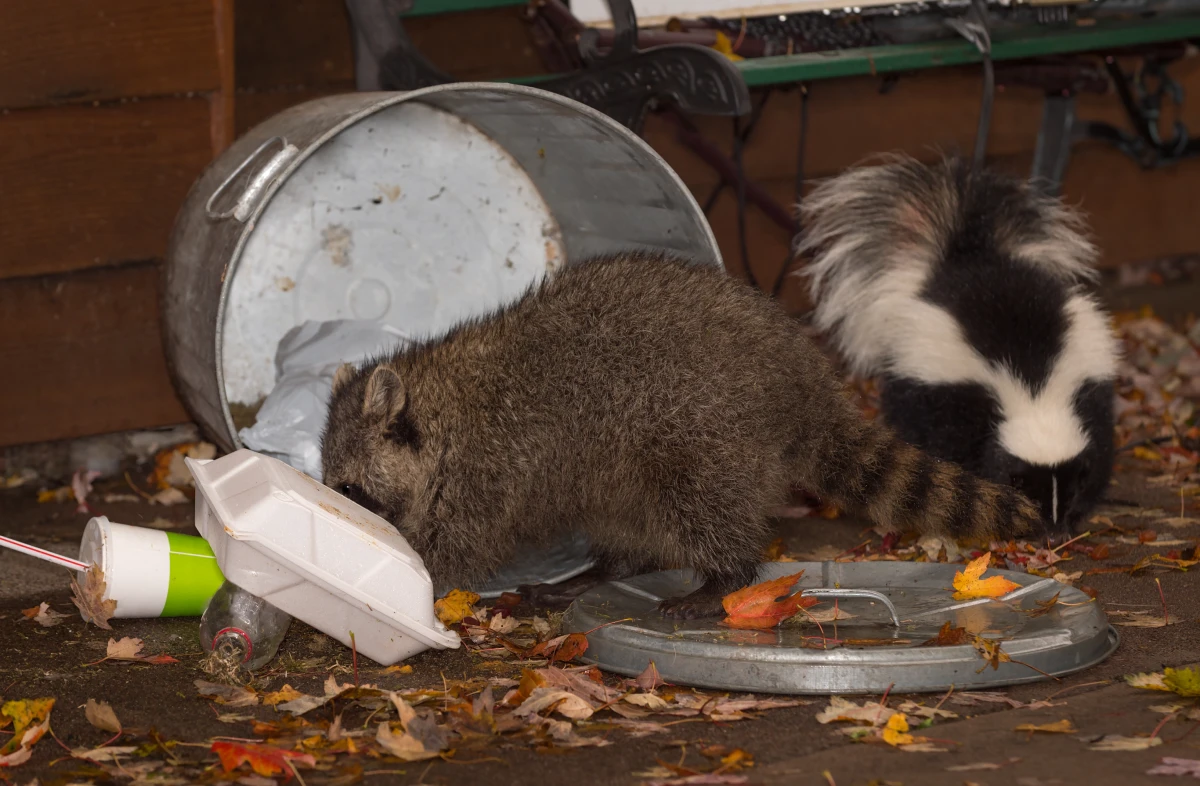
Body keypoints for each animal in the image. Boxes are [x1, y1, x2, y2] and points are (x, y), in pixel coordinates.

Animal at [322, 253, 1045, 618]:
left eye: (348, 488)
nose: (332, 510)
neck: (440, 402)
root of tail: (805, 383)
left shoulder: (487, 471)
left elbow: (459, 546)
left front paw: (404, 567)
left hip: (703, 431)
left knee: (700, 504)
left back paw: (724, 577)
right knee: (622, 515)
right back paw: (606, 569)